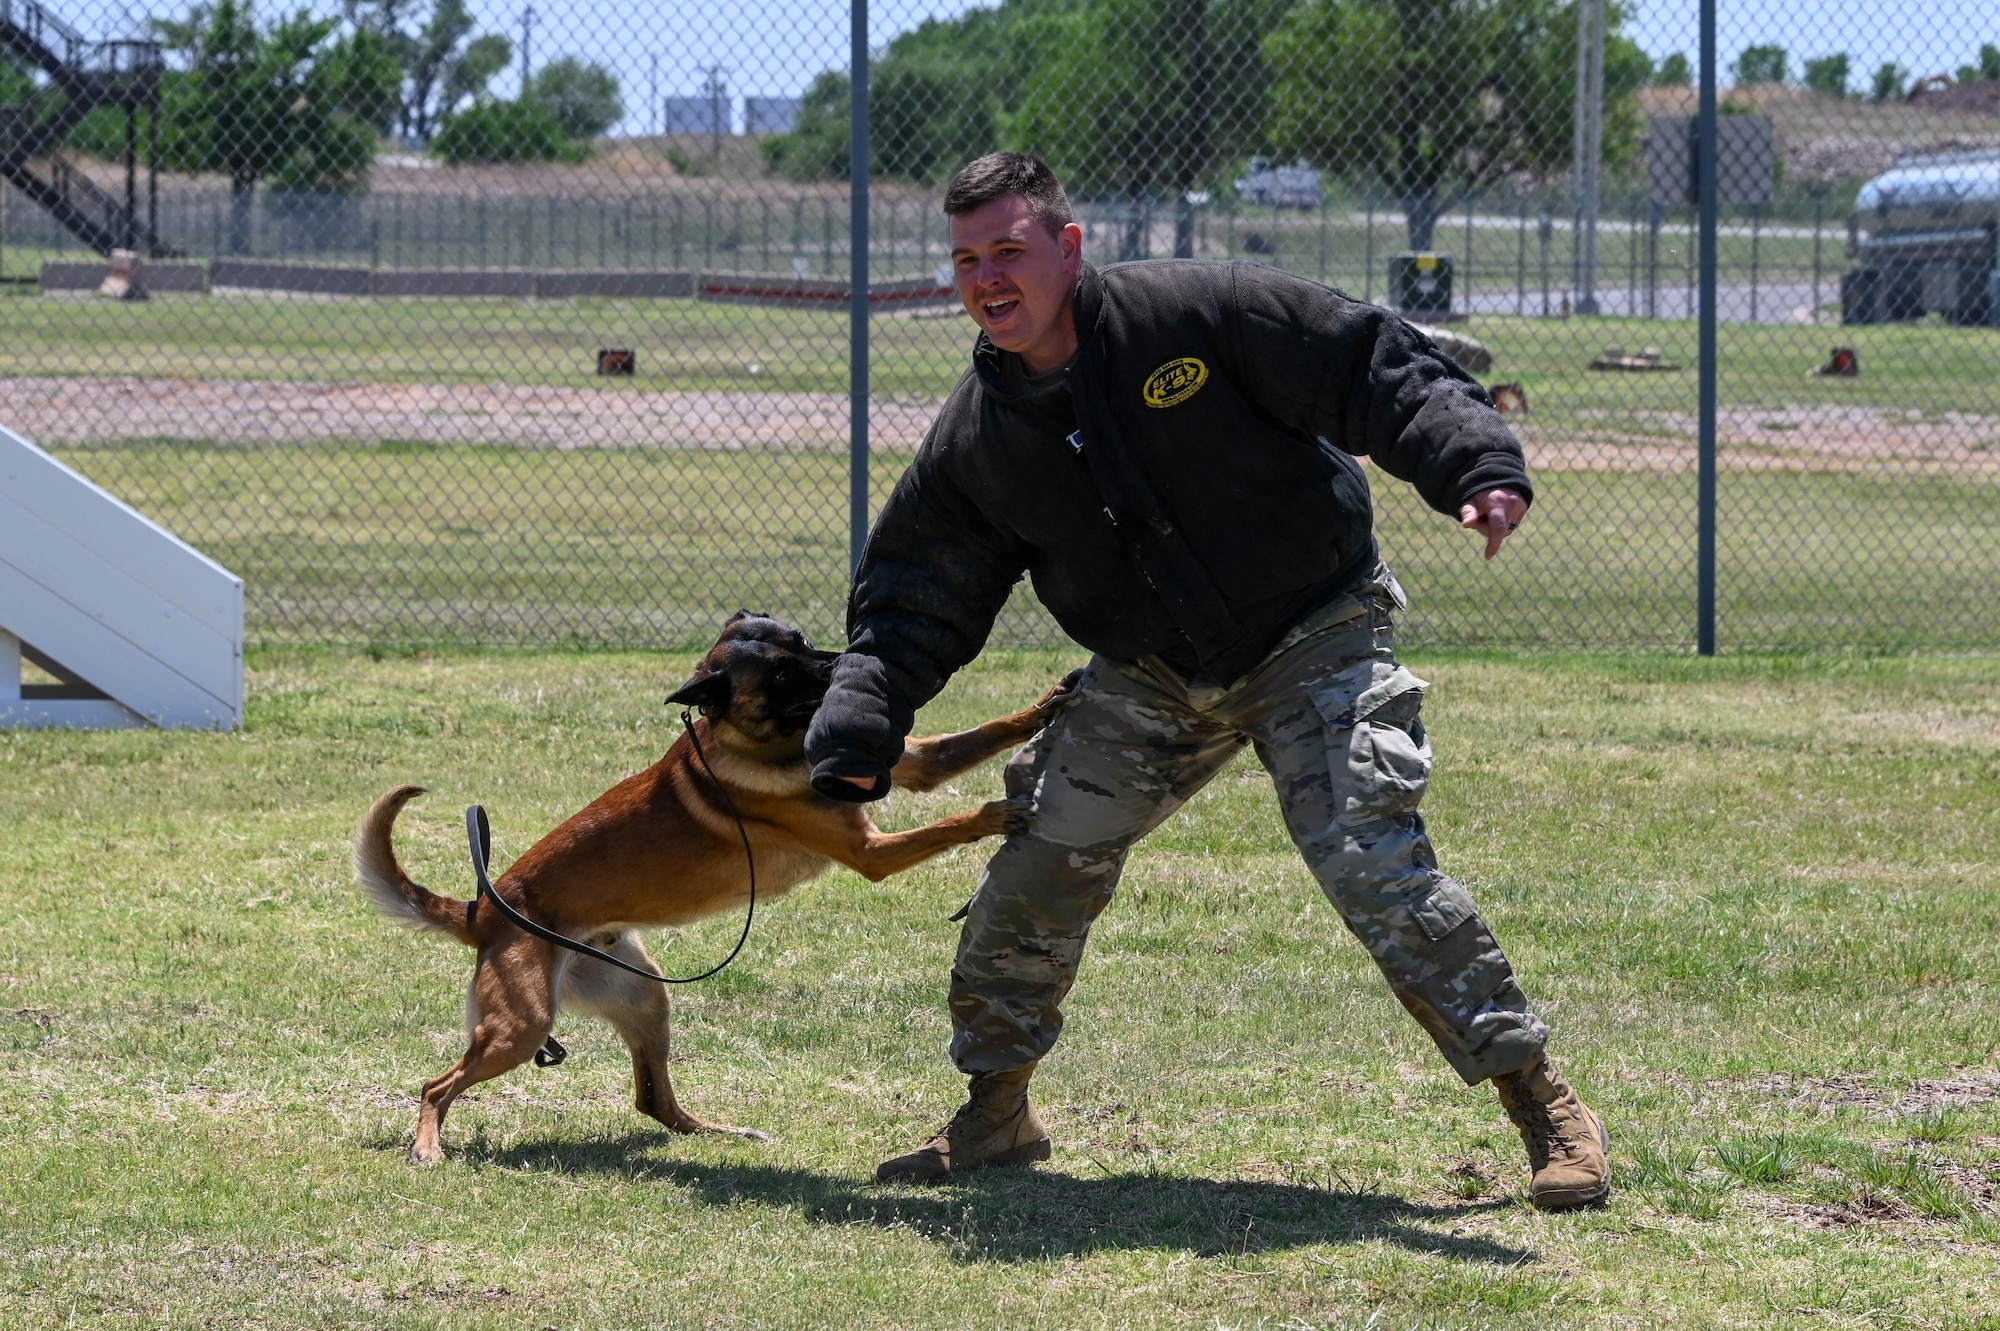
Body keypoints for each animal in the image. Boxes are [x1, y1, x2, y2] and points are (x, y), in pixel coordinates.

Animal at [360, 611, 1080, 1159]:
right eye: (784, 672)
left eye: (802, 641)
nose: (848, 665)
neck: (772, 742)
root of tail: (484, 909)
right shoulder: (869, 852)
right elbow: (951, 819)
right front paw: (994, 813)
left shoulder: (914, 764)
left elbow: (978, 735)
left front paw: (1046, 705)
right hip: (521, 1025)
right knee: (435, 1085)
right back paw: (427, 1146)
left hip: (644, 997)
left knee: (653, 1098)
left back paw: (721, 1132)